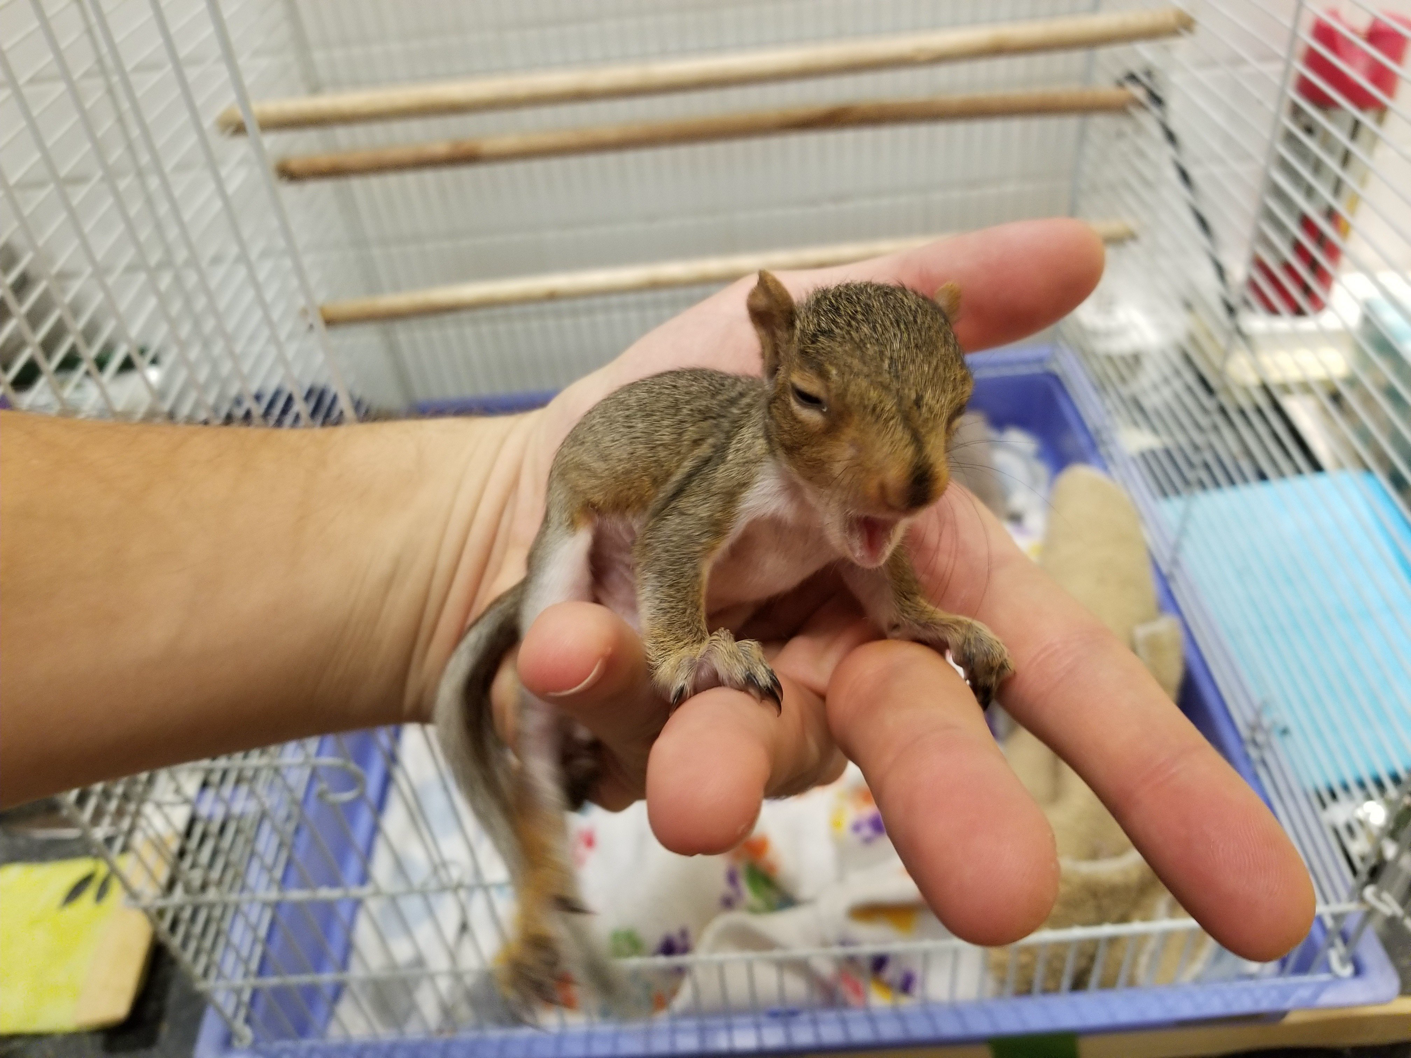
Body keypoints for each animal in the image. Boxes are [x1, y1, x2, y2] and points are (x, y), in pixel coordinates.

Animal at [434, 269, 1010, 1015]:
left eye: (962, 398)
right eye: (807, 395)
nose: (915, 488)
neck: (807, 511)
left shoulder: (857, 547)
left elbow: (891, 600)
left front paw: (944, 624)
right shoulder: (709, 492)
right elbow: (671, 551)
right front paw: (700, 653)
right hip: (557, 579)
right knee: (534, 793)